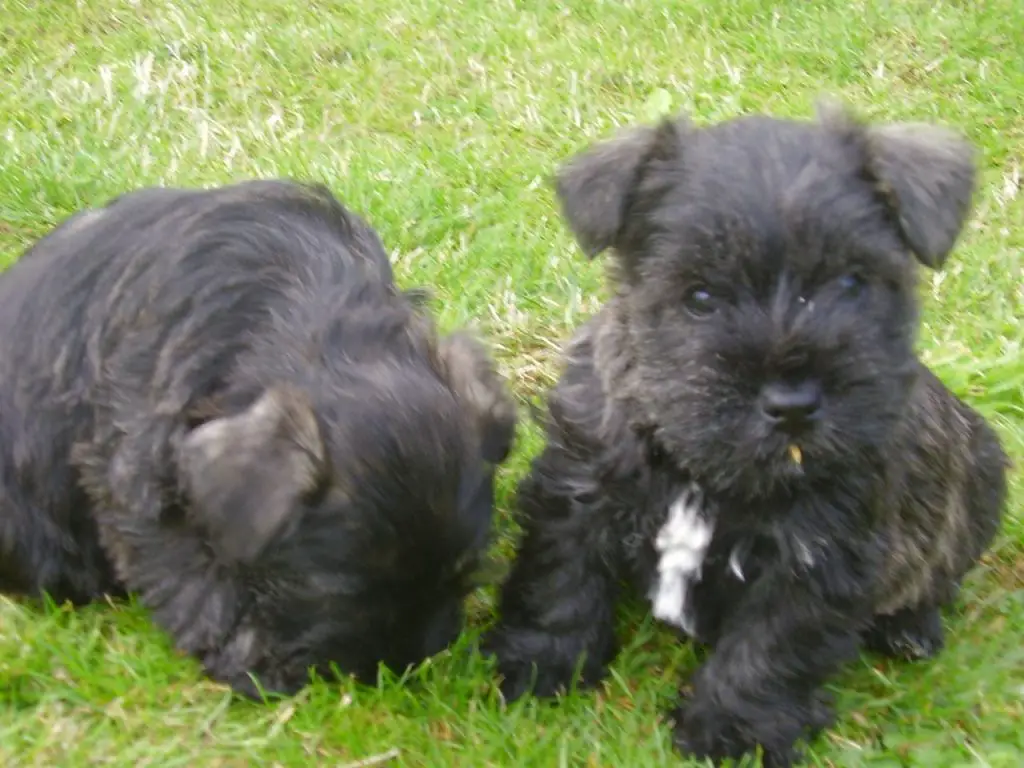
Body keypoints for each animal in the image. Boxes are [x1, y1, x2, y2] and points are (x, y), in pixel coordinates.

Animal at [0, 179, 512, 696]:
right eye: (345, 593)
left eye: (462, 574)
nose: (405, 665)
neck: (304, 312)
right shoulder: (137, 474)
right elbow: (186, 571)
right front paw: (247, 656)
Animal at [485, 99, 1007, 765]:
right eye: (701, 296)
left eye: (853, 283)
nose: (792, 405)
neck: (701, 467)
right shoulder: (578, 492)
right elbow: (559, 581)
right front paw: (540, 665)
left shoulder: (817, 559)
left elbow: (767, 653)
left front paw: (733, 731)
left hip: (981, 472)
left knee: (939, 576)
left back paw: (910, 628)